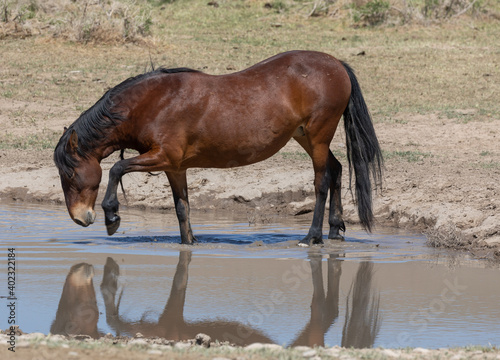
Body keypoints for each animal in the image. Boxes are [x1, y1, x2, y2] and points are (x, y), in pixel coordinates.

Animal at [53, 50, 382, 246]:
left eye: (69, 175)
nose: (79, 218)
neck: (153, 103)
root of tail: (337, 64)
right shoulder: (174, 167)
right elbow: (182, 207)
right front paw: (189, 243)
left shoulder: (163, 156)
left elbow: (116, 169)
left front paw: (112, 216)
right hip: (306, 137)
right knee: (337, 170)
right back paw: (334, 229)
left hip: (318, 136)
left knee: (321, 182)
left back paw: (312, 236)